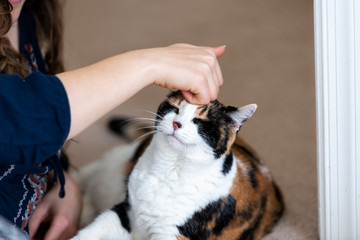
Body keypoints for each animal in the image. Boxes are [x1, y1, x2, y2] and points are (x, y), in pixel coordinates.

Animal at [71, 90, 284, 240]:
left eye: (200, 121)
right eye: (175, 109)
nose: (176, 123)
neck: (169, 169)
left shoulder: (175, 233)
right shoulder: (126, 211)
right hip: (113, 168)